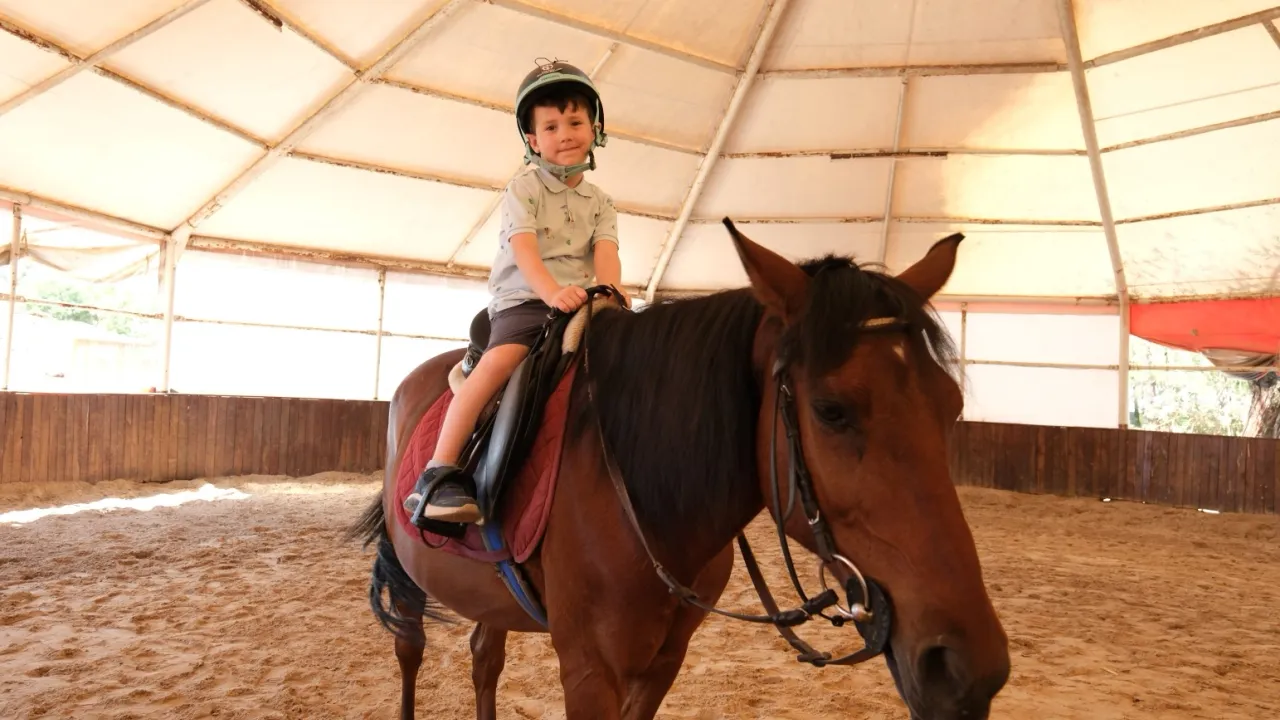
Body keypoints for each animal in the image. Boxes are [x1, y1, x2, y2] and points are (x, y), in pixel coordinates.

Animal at [348, 218, 1010, 719]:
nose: (968, 668)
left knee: (485, 654)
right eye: (831, 410)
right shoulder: (589, 670)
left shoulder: (664, 663)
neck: (641, 492)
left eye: (951, 404)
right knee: (410, 647)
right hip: (408, 575)